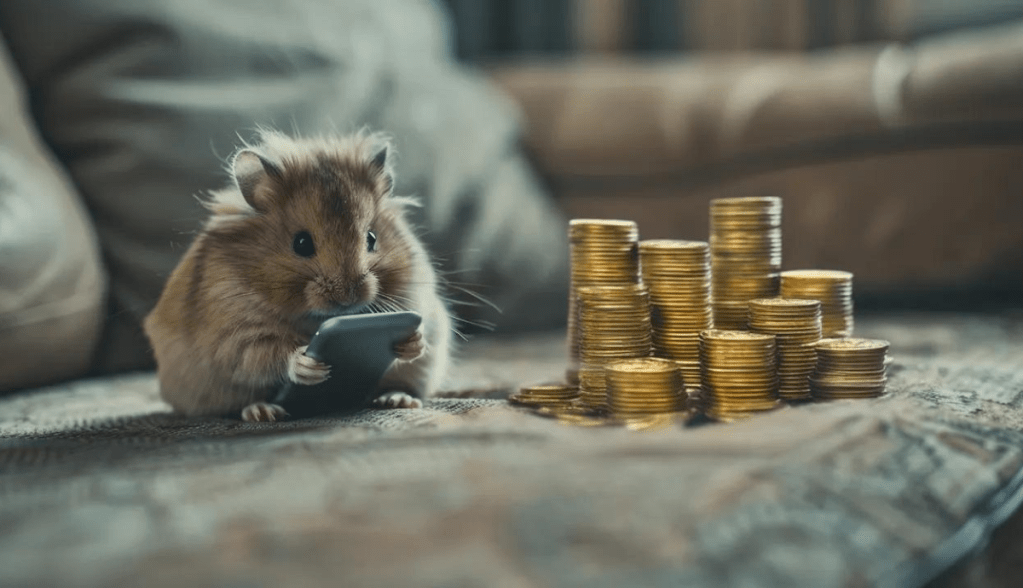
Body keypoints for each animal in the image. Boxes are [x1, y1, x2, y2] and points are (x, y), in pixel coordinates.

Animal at [143, 129, 452, 422]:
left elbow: (417, 331)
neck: (313, 317)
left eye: (372, 238)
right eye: (301, 243)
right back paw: (262, 412)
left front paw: (413, 341)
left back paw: (397, 399)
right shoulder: (234, 336)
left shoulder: (416, 301)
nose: (348, 297)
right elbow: (267, 355)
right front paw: (307, 365)